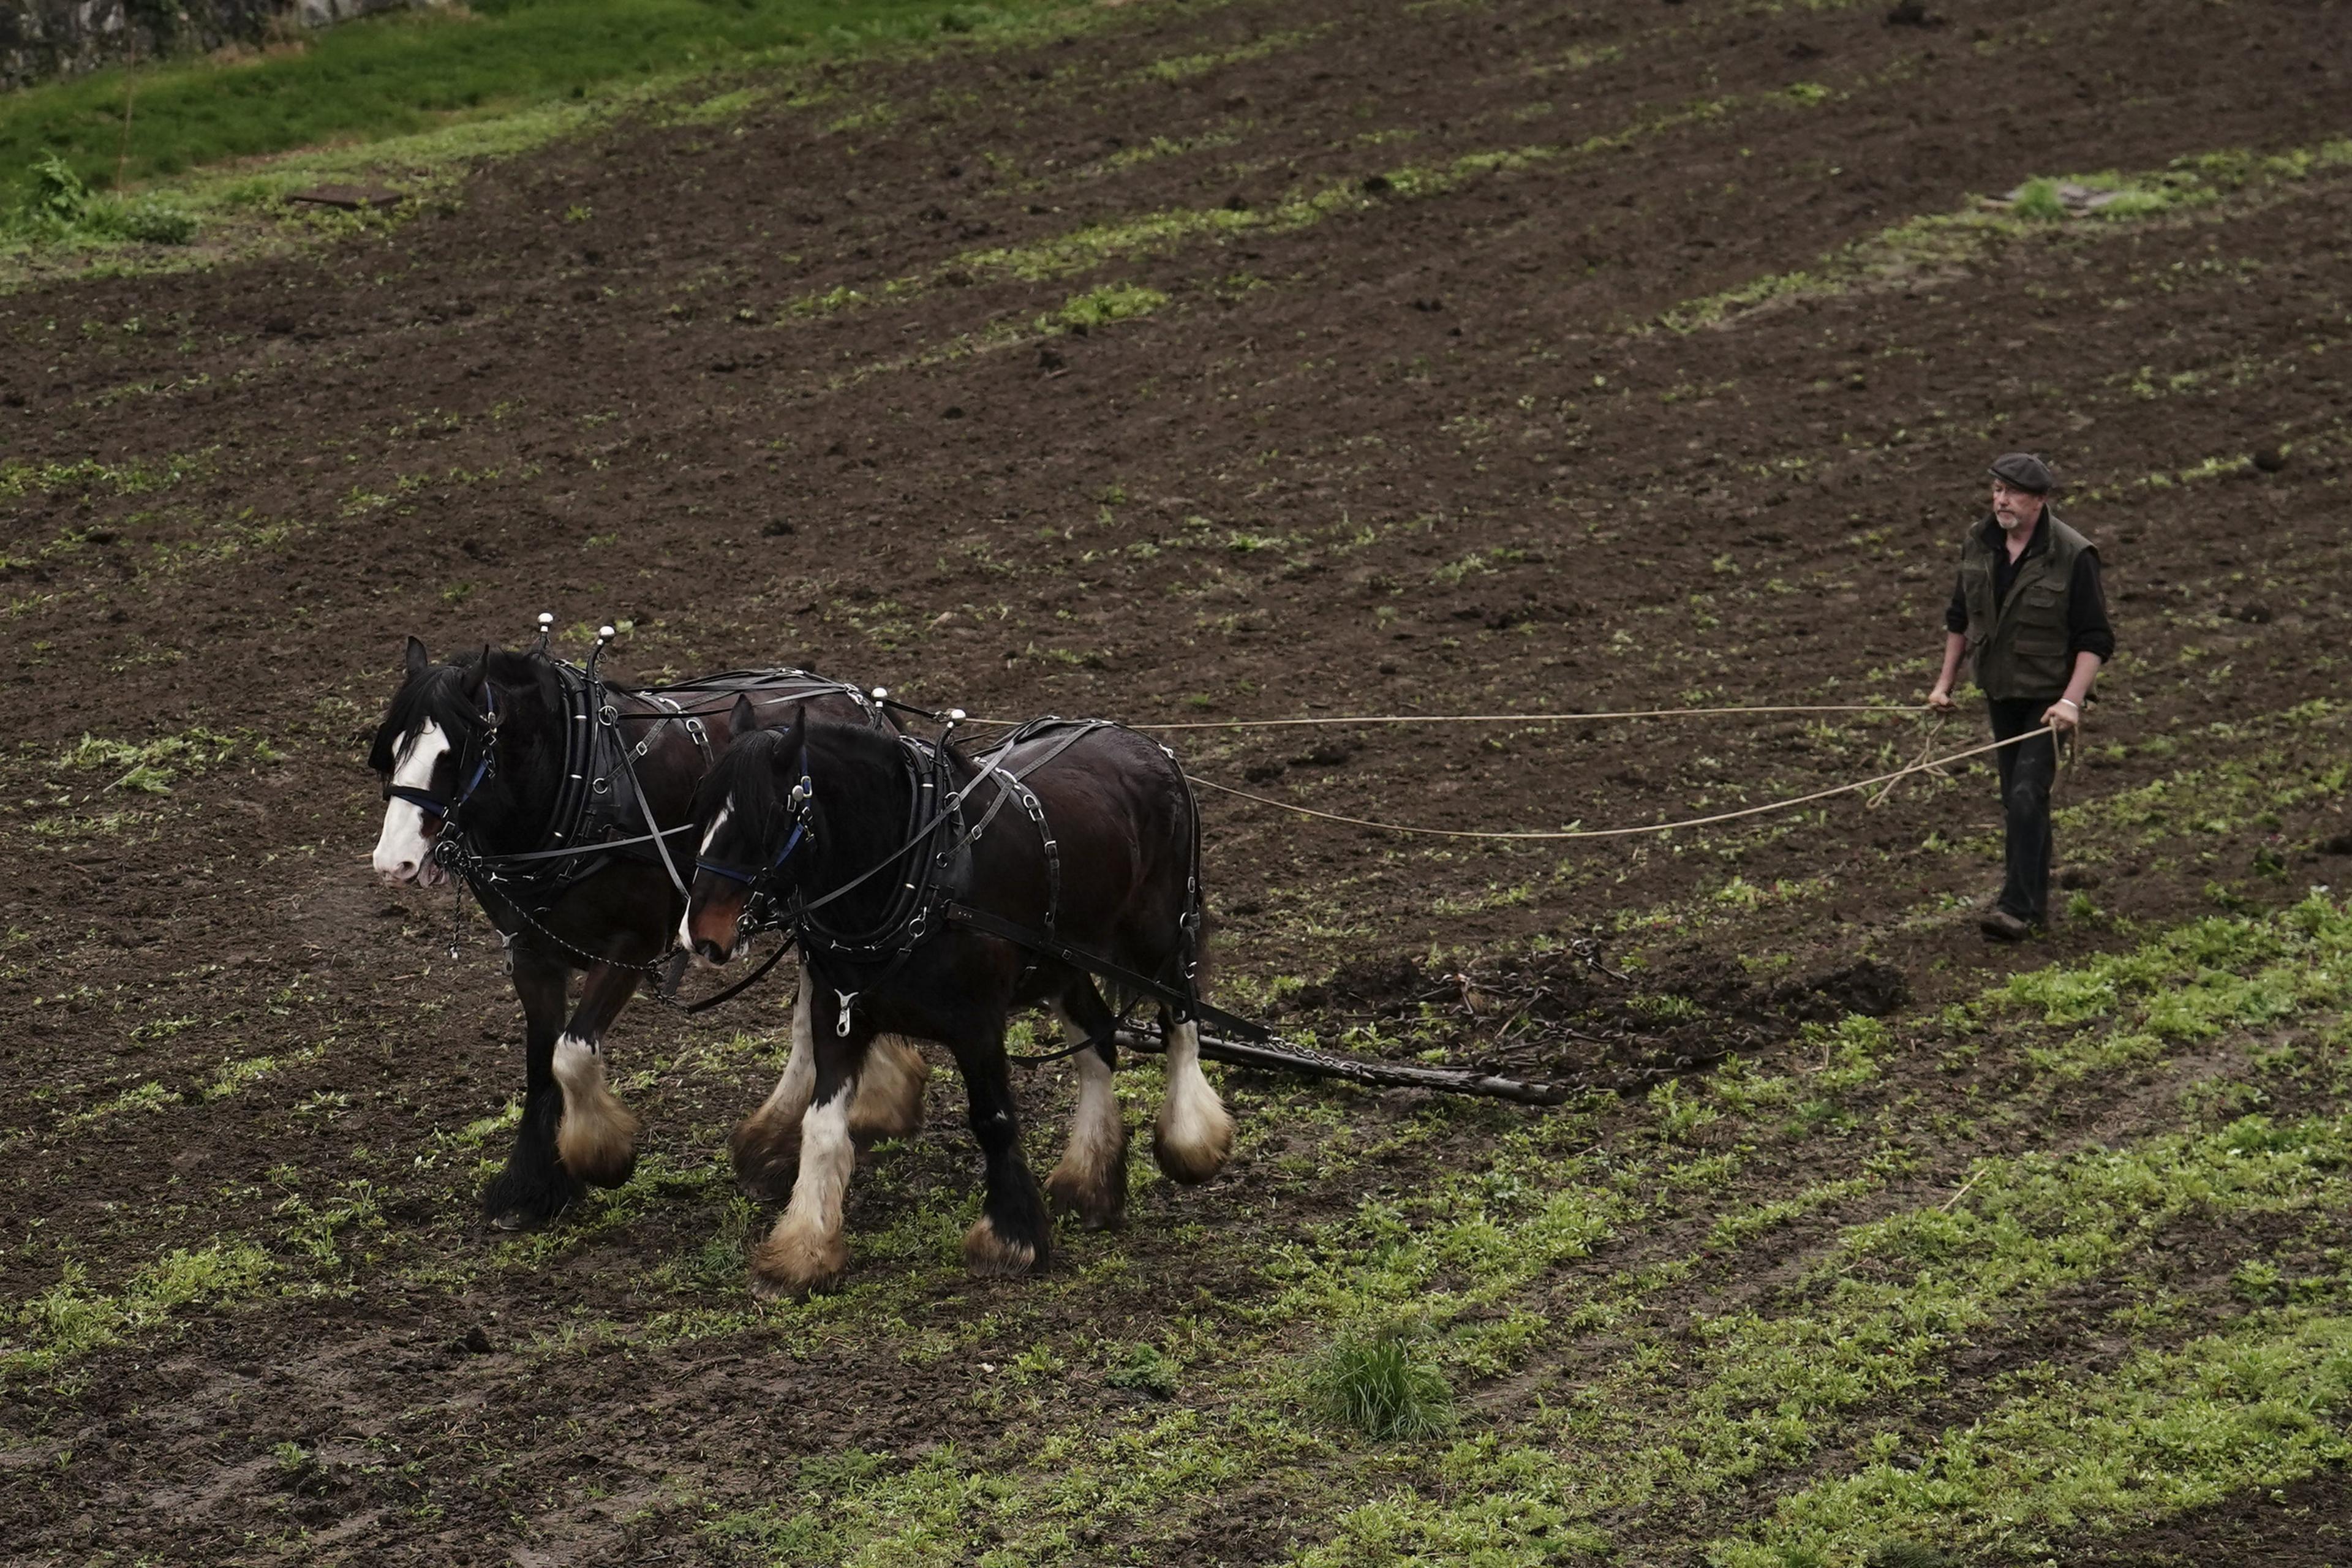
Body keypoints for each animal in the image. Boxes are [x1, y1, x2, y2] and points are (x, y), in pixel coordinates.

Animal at [367, 644, 926, 1232]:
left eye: (452, 755)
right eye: (391, 752)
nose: (392, 862)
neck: (580, 789)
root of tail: (867, 705)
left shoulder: (629, 947)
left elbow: (572, 1053)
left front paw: (601, 1157)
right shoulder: (531, 953)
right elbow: (542, 1062)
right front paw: (530, 1188)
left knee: (807, 1021)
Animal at [677, 700, 1232, 1297]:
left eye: (767, 819)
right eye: (700, 811)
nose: (700, 936)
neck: (916, 870)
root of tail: (1146, 744)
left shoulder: (978, 1023)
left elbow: (993, 1121)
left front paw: (1010, 1239)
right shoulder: (839, 1011)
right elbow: (822, 1129)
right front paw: (802, 1251)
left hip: (1163, 933)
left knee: (1182, 1021)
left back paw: (1191, 1140)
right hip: (1062, 960)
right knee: (1098, 1047)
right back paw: (1089, 1183)